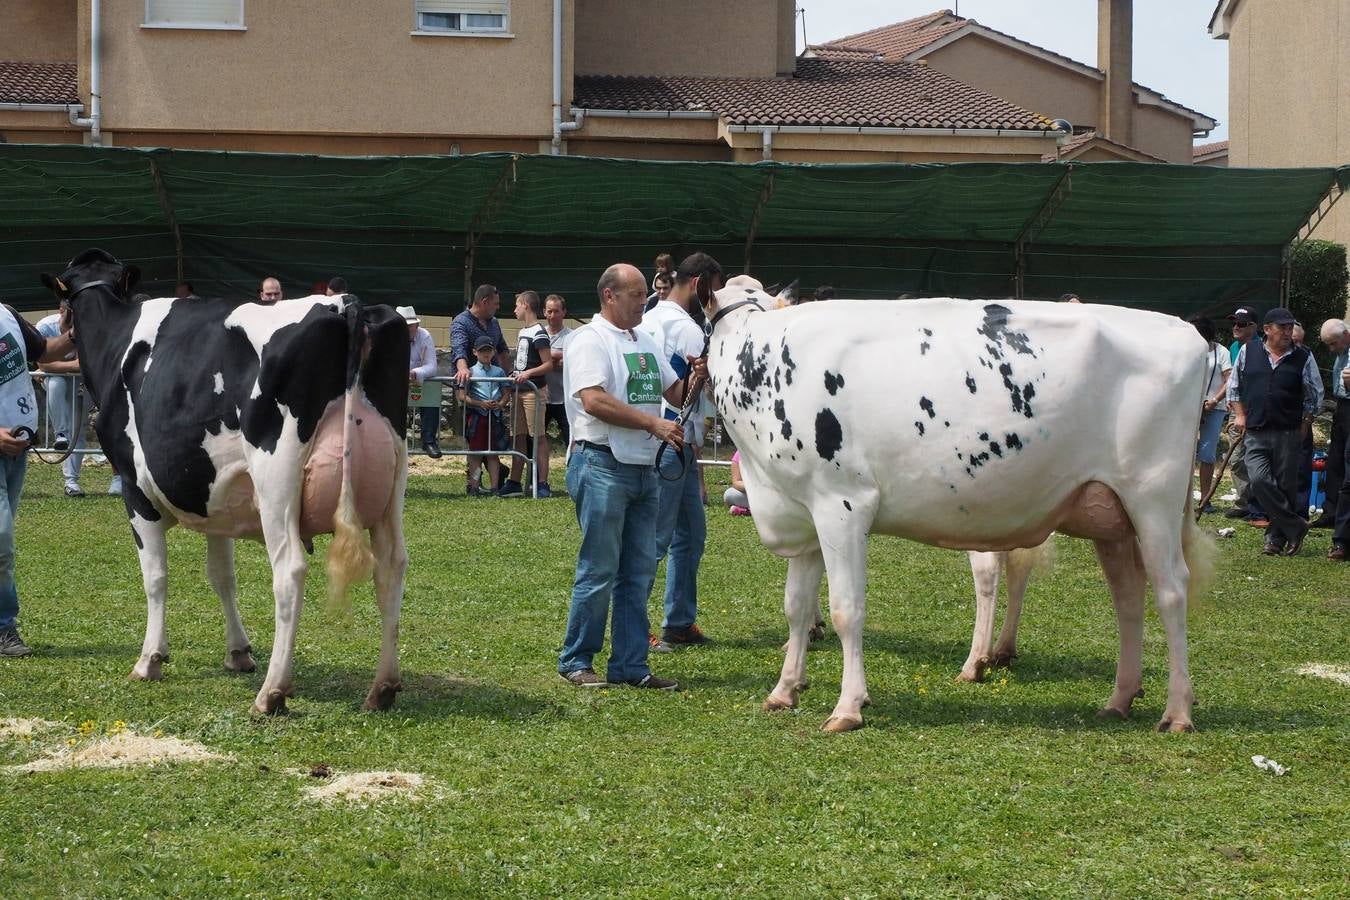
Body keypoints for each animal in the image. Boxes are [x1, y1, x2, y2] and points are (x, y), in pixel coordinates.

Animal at [43, 249, 410, 712]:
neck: (116, 337)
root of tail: (345, 304)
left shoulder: (134, 489)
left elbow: (155, 577)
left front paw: (150, 660)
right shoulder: (217, 497)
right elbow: (222, 575)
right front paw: (238, 652)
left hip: (276, 481)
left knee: (289, 571)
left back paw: (272, 693)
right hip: (391, 484)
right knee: (392, 566)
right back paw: (383, 687)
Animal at [707, 277, 1215, 734]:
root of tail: (1185, 331)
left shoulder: (843, 504)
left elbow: (846, 609)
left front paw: (848, 706)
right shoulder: (802, 510)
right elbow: (796, 606)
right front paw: (784, 690)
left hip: (1154, 499)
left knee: (1171, 590)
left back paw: (1178, 712)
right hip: (1110, 515)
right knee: (1127, 595)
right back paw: (1120, 699)